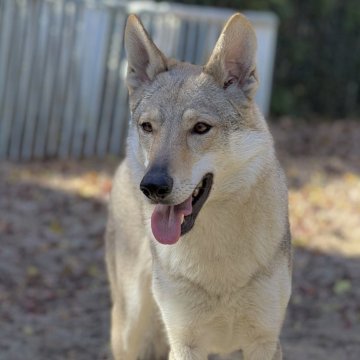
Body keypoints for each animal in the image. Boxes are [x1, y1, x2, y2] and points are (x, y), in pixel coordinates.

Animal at [105, 11, 292, 360]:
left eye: (201, 128)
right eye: (147, 127)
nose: (152, 186)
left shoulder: (264, 342)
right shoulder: (184, 343)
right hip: (129, 326)